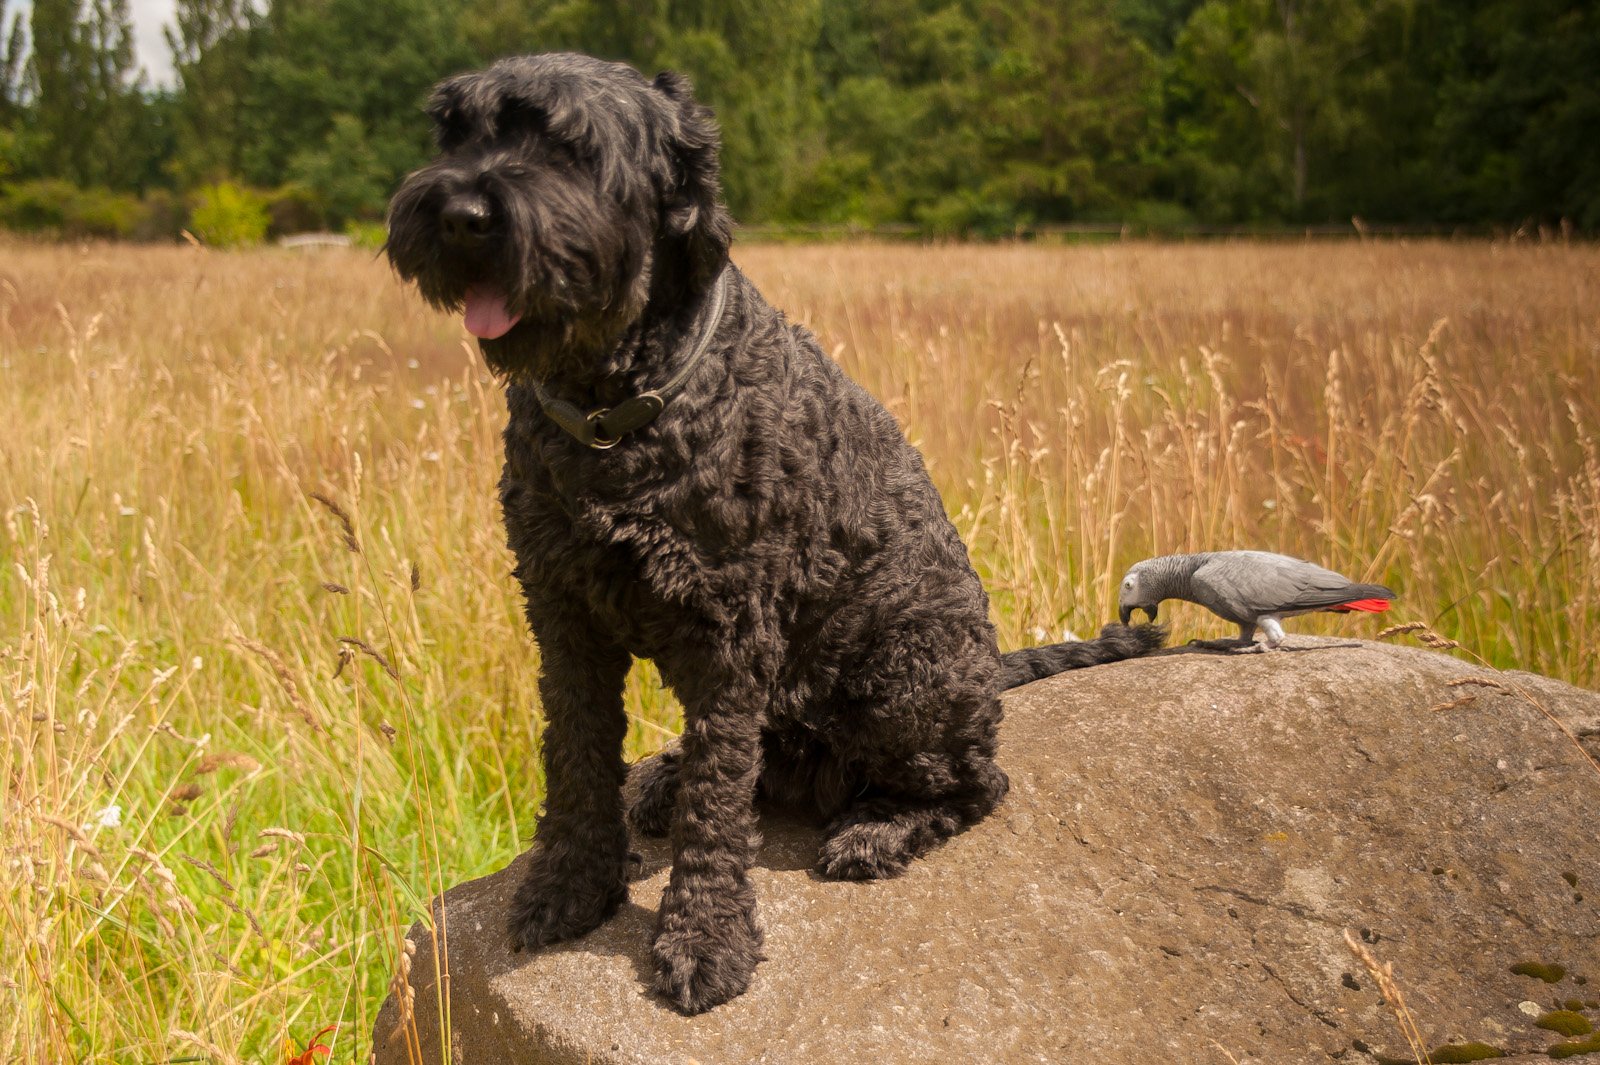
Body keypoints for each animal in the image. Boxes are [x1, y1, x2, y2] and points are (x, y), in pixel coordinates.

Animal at [387, 51, 1164, 1010]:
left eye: (569, 146)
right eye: (456, 133)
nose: (458, 213)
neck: (617, 416)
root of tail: (987, 669)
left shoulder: (731, 632)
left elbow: (719, 805)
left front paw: (704, 935)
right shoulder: (562, 615)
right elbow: (577, 760)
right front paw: (572, 885)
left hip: (900, 675)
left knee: (977, 782)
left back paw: (879, 826)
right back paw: (669, 777)